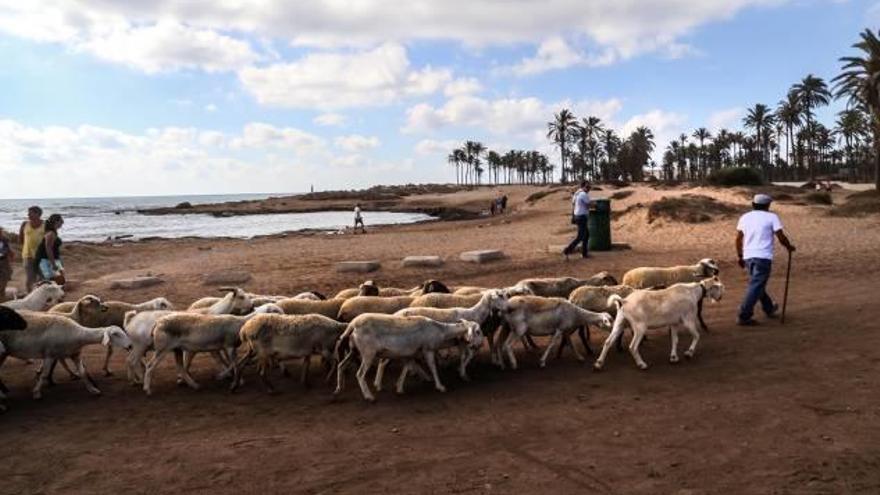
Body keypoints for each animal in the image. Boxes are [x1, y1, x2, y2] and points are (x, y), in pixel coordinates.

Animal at [0, 314, 131, 404]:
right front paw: (36, 393)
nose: (130, 346)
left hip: (4, 353)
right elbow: (44, 374)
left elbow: (83, 373)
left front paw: (93, 390)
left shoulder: (75, 354)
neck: (77, 334)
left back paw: (4, 391)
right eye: (116, 334)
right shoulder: (50, 354)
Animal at [334, 316, 482, 402]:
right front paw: (440, 386)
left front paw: (399, 388)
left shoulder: (411, 352)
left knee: (341, 366)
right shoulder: (428, 349)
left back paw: (339, 388)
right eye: (478, 331)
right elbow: (432, 367)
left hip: (353, 351)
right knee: (359, 374)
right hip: (368, 352)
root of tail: (352, 325)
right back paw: (369, 396)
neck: (441, 330)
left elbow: (406, 369)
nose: (479, 345)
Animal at [592, 278, 728, 370]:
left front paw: (673, 357)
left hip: (620, 322)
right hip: (639, 327)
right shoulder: (688, 319)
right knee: (633, 346)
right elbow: (696, 335)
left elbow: (675, 340)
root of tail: (624, 301)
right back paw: (642, 364)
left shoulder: (674, 323)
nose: (720, 297)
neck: (692, 292)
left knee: (608, 342)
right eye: (719, 287)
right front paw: (688, 353)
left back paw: (598, 364)